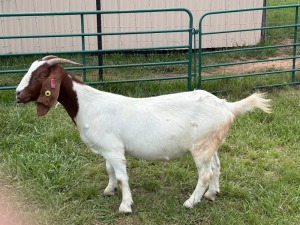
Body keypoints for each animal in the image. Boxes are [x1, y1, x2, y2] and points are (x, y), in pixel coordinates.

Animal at [15, 55, 270, 213]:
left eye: (40, 76)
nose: (17, 94)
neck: (88, 104)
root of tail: (227, 107)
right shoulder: (108, 149)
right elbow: (109, 170)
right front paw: (109, 190)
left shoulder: (114, 149)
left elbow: (121, 176)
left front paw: (125, 205)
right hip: (210, 143)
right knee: (216, 166)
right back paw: (211, 194)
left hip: (200, 146)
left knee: (205, 174)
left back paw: (191, 202)